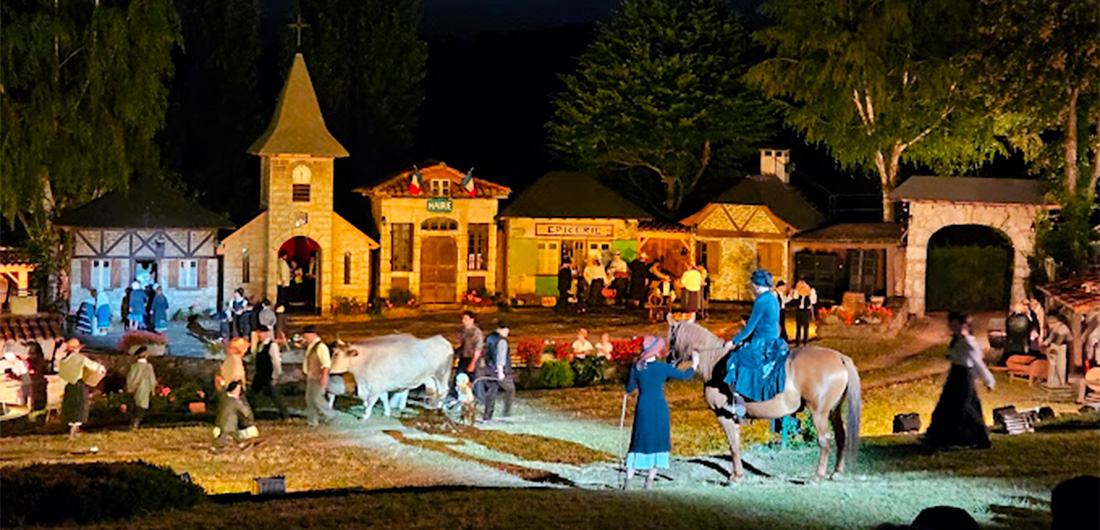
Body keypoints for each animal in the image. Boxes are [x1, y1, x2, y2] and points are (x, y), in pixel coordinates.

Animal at [664, 314, 862, 483]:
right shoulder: (732, 417)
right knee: (841, 437)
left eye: (672, 339)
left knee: (825, 440)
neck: (716, 363)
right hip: (833, 411)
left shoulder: (723, 415)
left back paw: (818, 476)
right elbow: (736, 444)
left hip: (818, 412)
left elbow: (733, 445)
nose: (668, 361)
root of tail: (840, 357)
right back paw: (836, 472)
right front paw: (738, 474)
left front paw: (735, 477)